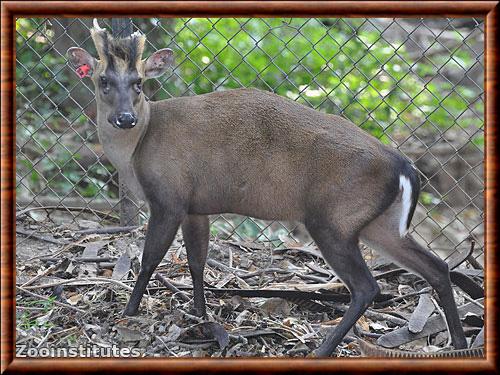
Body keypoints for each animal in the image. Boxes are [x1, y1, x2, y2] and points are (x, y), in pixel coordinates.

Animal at [67, 19, 468, 356]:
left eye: (138, 83)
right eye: (104, 81)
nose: (124, 118)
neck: (138, 147)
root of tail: (404, 165)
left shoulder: (169, 198)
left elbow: (149, 257)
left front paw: (129, 311)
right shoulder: (196, 206)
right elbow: (197, 261)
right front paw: (200, 314)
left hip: (332, 219)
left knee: (368, 286)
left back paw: (321, 349)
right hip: (378, 223)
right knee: (437, 267)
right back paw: (460, 343)